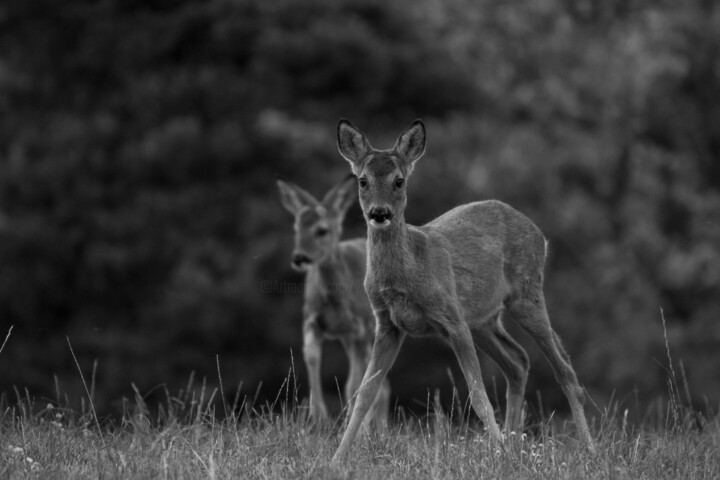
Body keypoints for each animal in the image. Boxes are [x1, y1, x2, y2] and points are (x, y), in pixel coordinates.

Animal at [276, 177, 390, 432]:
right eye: (296, 228)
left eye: (322, 230)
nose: (299, 258)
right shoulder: (311, 320)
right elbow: (311, 358)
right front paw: (317, 420)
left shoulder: (358, 327)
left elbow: (353, 383)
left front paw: (349, 424)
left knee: (378, 384)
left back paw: (374, 429)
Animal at [332, 118, 596, 464]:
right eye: (362, 180)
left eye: (399, 181)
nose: (379, 213)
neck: (409, 270)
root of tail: (540, 234)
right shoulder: (387, 323)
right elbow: (364, 393)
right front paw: (336, 458)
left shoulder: (451, 319)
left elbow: (478, 394)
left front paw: (498, 452)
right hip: (483, 320)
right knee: (518, 361)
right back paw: (512, 443)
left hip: (526, 294)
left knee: (564, 369)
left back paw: (588, 448)